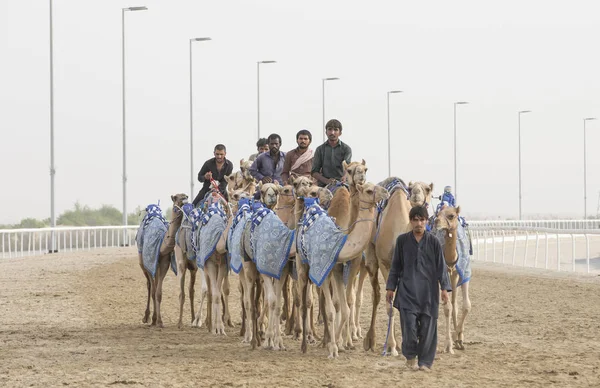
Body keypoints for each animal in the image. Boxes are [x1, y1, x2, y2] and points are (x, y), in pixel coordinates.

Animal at [138, 193, 188, 328]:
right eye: (176, 198)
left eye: (184, 196)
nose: (185, 197)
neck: (161, 245)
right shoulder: (150, 263)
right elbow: (153, 291)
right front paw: (154, 320)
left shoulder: (164, 263)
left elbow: (159, 293)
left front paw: (159, 321)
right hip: (142, 263)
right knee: (149, 285)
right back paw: (146, 317)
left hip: (157, 267)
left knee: (154, 286)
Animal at [296, 182, 390, 358]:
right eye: (368, 190)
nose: (386, 192)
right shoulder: (324, 272)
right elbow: (331, 310)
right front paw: (333, 348)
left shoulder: (337, 271)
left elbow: (344, 308)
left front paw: (338, 344)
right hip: (302, 266)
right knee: (304, 302)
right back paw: (304, 343)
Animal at [360, 178, 432, 354]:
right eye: (411, 188)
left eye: (427, 189)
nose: (416, 194)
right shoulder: (386, 264)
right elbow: (390, 304)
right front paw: (391, 346)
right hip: (371, 256)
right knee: (377, 294)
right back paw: (370, 340)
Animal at [434, 206, 472, 354]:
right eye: (438, 214)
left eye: (451, 215)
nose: (436, 222)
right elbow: (447, 308)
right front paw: (449, 344)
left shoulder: (464, 274)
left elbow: (466, 305)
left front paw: (459, 338)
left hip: (454, 278)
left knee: (455, 302)